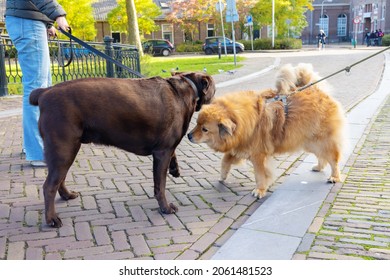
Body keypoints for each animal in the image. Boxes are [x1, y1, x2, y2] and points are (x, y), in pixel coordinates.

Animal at [29, 72, 215, 228]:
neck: (186, 88)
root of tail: (45, 92)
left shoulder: (166, 148)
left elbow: (172, 157)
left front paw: (175, 169)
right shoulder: (162, 152)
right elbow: (160, 186)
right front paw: (165, 207)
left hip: (65, 150)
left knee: (59, 179)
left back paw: (67, 195)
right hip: (64, 148)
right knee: (49, 186)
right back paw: (52, 219)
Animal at [188, 64, 344, 198]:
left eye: (204, 129)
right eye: (196, 123)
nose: (188, 135)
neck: (243, 120)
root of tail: (317, 90)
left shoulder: (258, 155)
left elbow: (260, 175)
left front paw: (260, 190)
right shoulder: (240, 148)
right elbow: (225, 161)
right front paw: (222, 176)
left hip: (321, 141)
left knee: (333, 159)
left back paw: (334, 177)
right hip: (310, 142)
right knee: (322, 157)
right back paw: (319, 167)